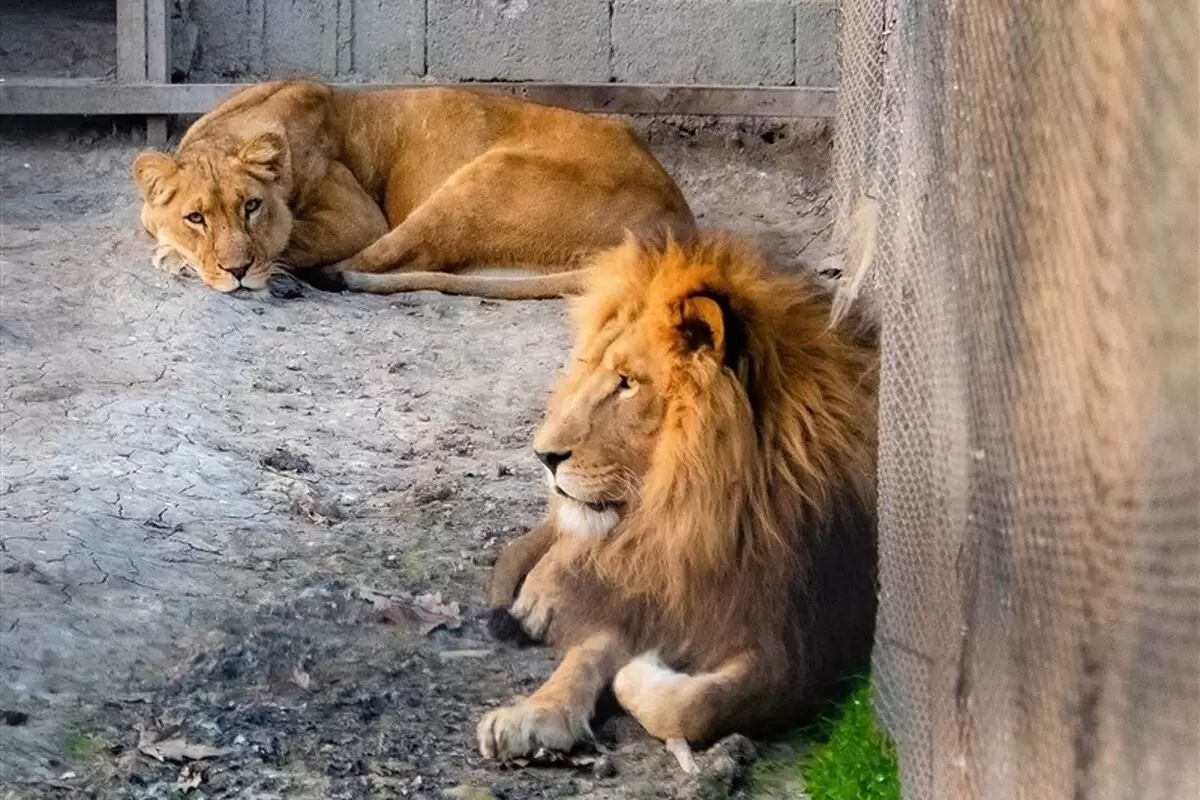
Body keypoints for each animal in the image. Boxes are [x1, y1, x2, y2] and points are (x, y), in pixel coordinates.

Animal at [129, 81, 696, 299]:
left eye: (252, 207)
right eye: (196, 217)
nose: (238, 272)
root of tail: (677, 223)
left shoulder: (356, 216)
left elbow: (291, 241)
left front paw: (183, 260)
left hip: (482, 179)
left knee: (382, 259)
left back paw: (327, 278)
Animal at [477, 231, 883, 762]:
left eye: (627, 384)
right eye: (591, 370)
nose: (542, 455)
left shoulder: (806, 652)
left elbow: (693, 706)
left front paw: (639, 671)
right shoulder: (653, 590)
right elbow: (587, 651)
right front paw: (534, 713)